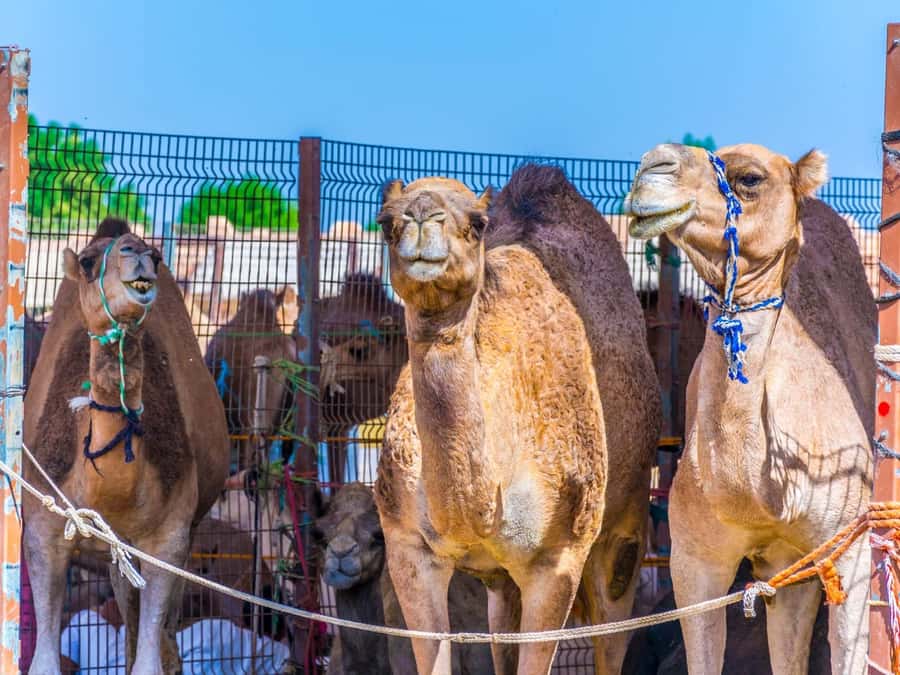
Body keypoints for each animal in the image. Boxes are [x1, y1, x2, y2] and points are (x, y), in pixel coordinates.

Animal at [23, 217, 230, 674]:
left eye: (156, 255)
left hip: (185, 531)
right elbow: (43, 661)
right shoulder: (42, 528)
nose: (138, 254)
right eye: (87, 261)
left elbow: (151, 660)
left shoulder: (170, 534)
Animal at [375, 165, 661, 674]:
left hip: (623, 526)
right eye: (386, 221)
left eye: (478, 222)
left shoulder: (558, 556)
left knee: (612, 622)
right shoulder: (408, 545)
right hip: (500, 577)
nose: (422, 215)